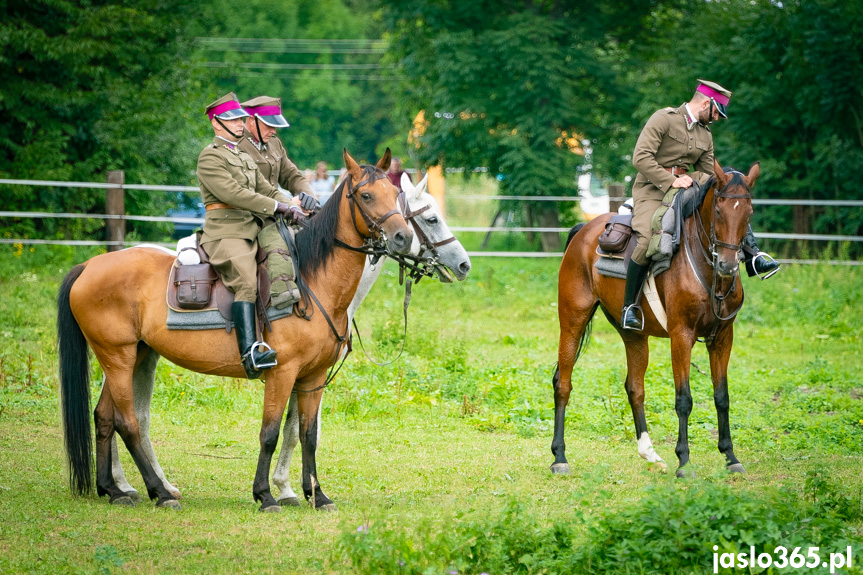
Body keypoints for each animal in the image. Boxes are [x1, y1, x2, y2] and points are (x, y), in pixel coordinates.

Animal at [57, 147, 416, 508]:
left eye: (395, 193)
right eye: (366, 195)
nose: (403, 237)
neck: (311, 284)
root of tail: (89, 265)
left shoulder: (313, 377)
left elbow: (307, 435)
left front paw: (317, 495)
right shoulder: (282, 373)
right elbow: (270, 433)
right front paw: (266, 494)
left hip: (134, 355)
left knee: (105, 416)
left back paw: (114, 489)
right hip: (117, 357)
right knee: (127, 422)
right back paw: (160, 492)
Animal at [556, 161, 760, 476]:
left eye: (748, 213)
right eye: (718, 210)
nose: (727, 265)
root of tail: (583, 230)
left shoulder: (723, 337)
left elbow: (722, 396)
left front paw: (730, 456)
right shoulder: (681, 336)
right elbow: (684, 399)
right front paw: (684, 462)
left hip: (634, 335)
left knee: (634, 387)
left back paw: (649, 452)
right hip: (572, 322)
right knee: (562, 384)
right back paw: (560, 457)